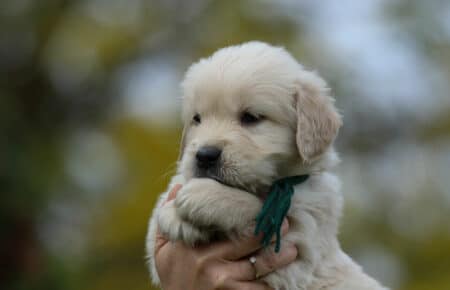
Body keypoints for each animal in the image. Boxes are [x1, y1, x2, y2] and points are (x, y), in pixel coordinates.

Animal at [145, 41, 386, 290]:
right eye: (197, 119)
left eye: (251, 117)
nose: (204, 155)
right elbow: (159, 214)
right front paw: (174, 215)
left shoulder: (299, 246)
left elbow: (261, 208)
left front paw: (203, 197)